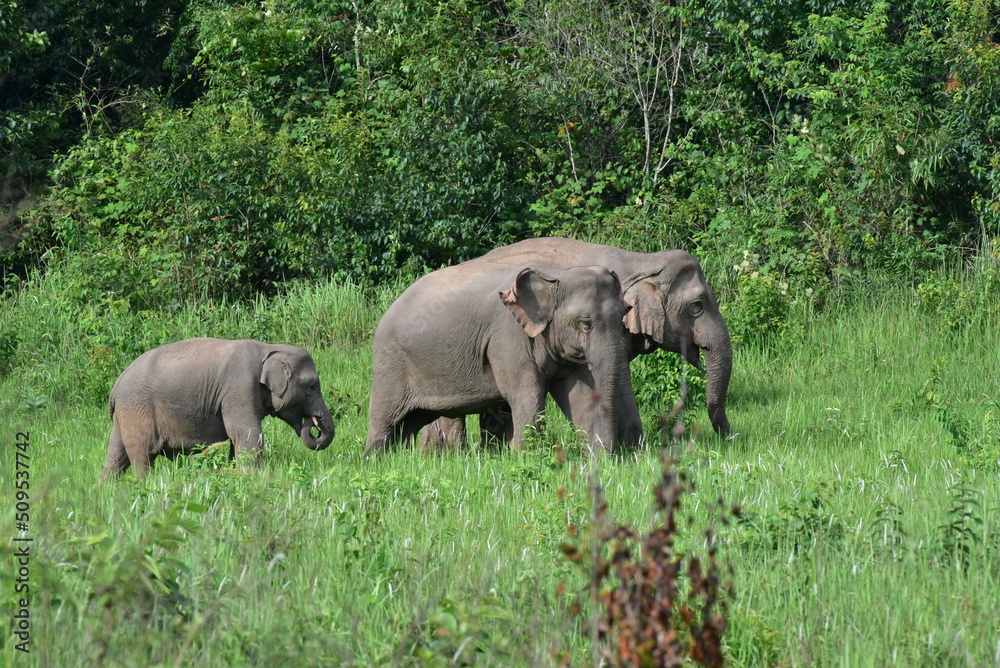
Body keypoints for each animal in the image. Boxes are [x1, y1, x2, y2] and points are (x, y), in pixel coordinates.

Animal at [102, 340, 336, 480]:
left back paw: (107, 487)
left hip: (126, 414)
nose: (312, 422)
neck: (268, 347)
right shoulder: (239, 389)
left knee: (116, 454)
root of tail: (114, 389)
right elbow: (248, 434)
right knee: (142, 453)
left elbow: (238, 440)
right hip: (137, 409)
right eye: (312, 386)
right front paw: (250, 478)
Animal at [366, 260, 632, 454]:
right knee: (385, 417)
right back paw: (375, 460)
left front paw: (596, 459)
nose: (612, 456)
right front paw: (525, 456)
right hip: (390, 361)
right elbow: (526, 393)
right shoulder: (507, 336)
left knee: (410, 422)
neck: (553, 276)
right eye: (585, 324)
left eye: (624, 315)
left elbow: (581, 395)